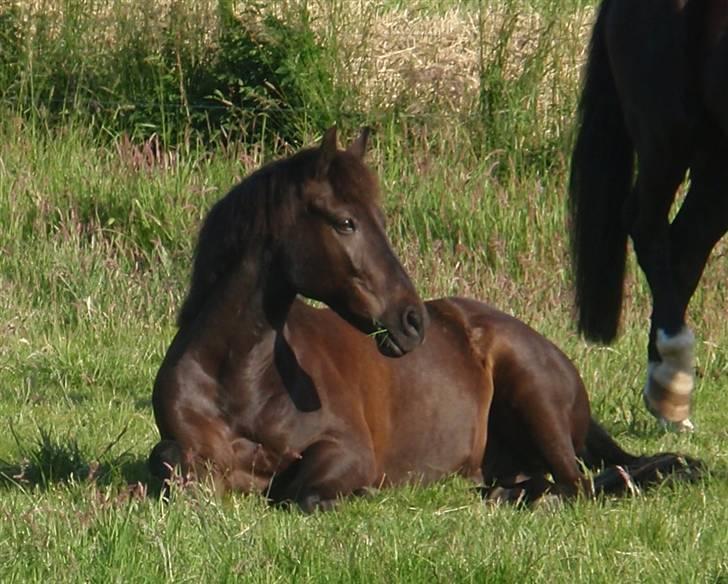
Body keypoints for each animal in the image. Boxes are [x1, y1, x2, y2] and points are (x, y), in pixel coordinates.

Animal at [149, 127, 701, 512]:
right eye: (345, 222)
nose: (412, 321)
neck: (240, 377)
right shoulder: (186, 457)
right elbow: (168, 468)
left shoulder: (349, 451)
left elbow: (300, 494)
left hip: (533, 394)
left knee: (582, 484)